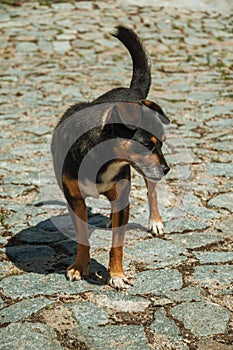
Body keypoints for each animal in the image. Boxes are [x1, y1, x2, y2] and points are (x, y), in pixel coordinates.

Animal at [52, 26, 170, 290]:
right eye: (148, 145)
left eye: (162, 142)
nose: (167, 169)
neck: (102, 158)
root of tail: (133, 92)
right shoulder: (74, 199)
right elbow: (82, 237)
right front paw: (80, 267)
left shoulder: (123, 199)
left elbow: (117, 245)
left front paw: (116, 275)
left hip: (145, 178)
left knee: (151, 192)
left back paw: (155, 221)